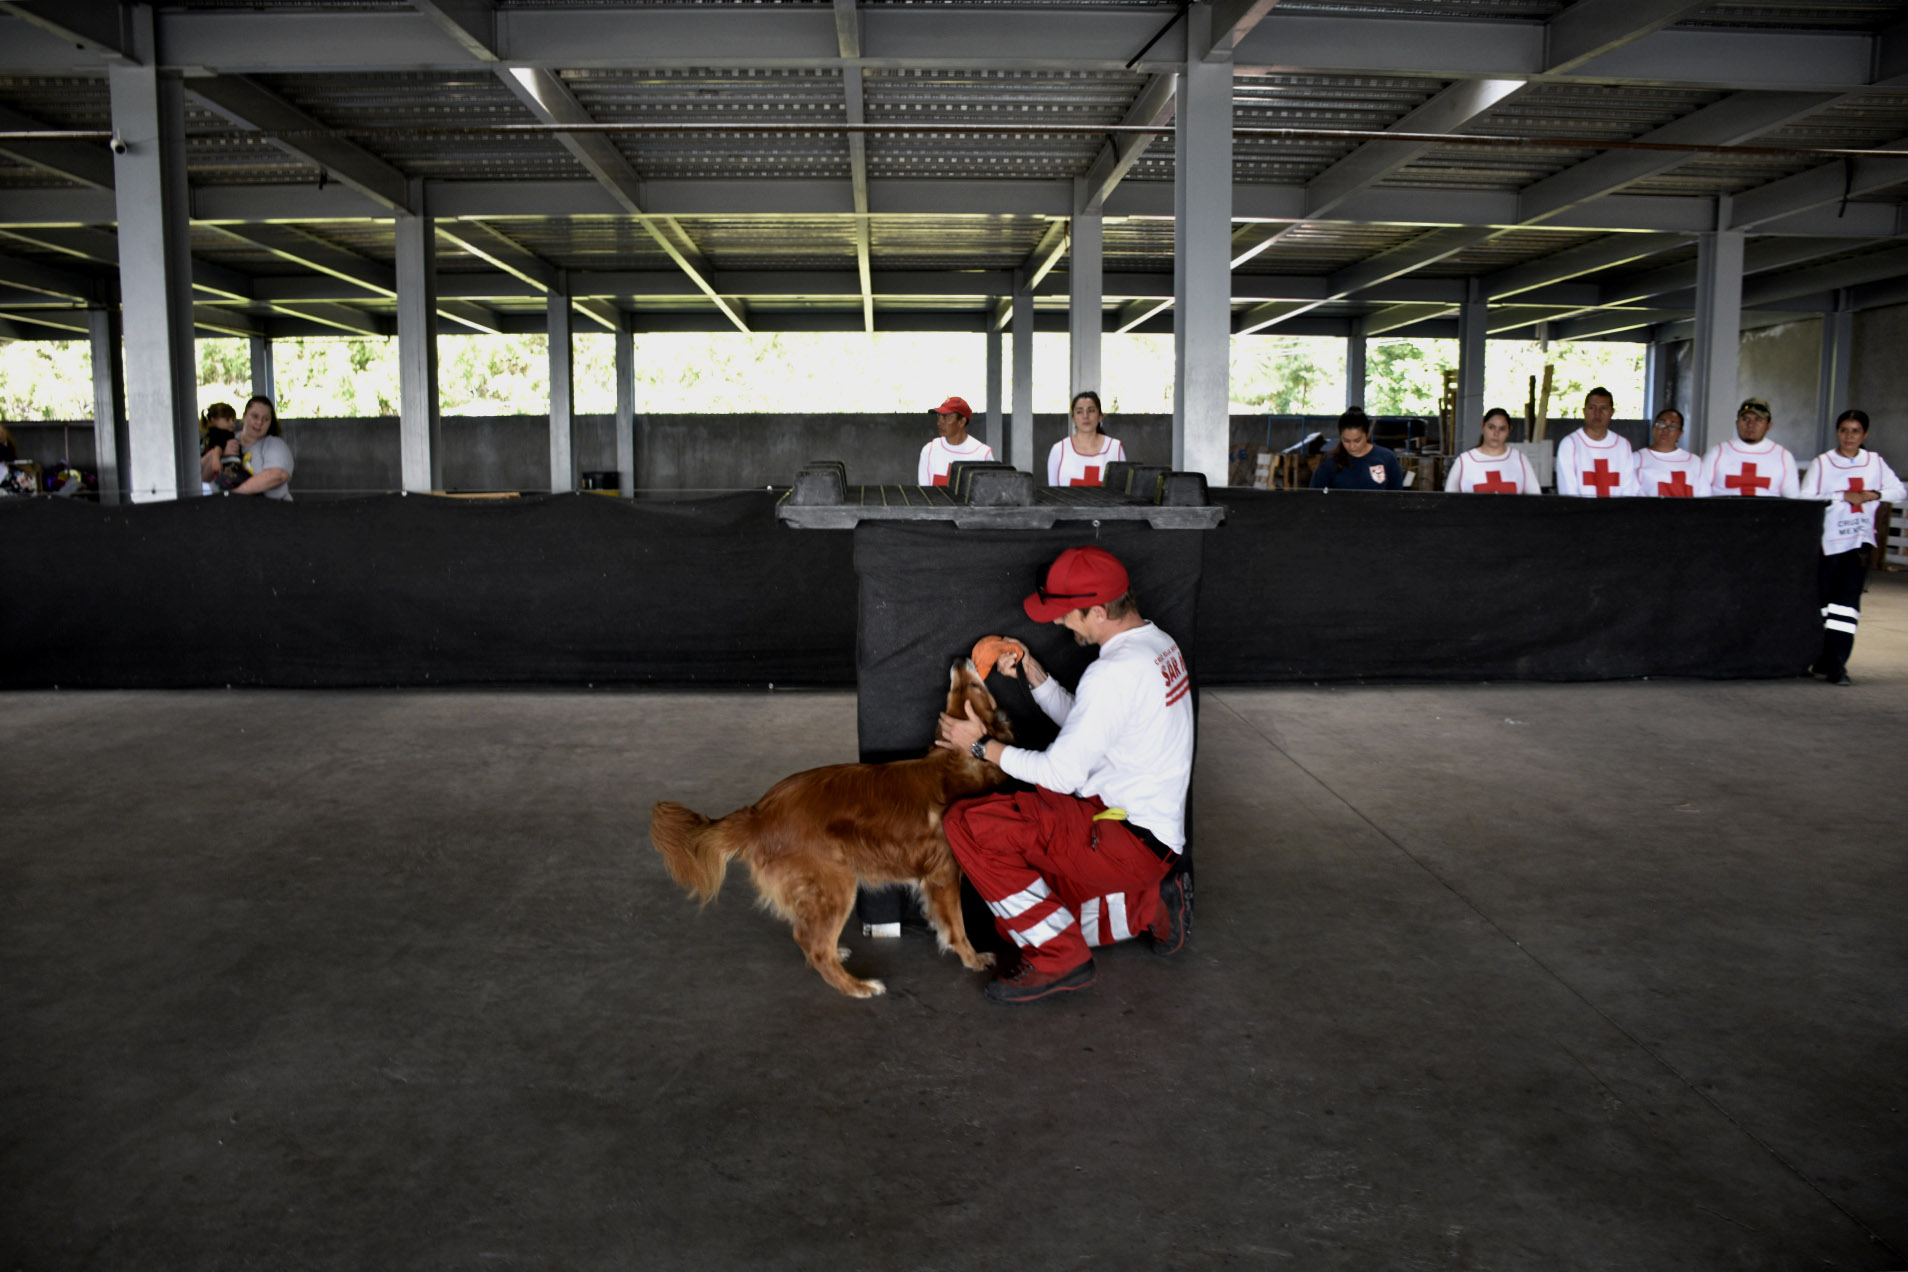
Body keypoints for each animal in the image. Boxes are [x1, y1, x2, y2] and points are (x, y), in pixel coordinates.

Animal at [648, 663, 1015, 999]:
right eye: (969, 687)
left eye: (959, 689)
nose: (958, 662)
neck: (958, 760)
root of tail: (760, 812)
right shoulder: (944, 875)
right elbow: (957, 926)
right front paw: (972, 958)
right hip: (838, 884)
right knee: (817, 949)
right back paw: (858, 986)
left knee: (807, 935)